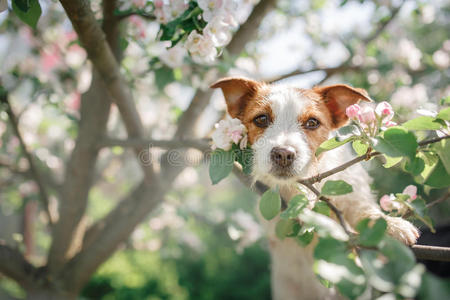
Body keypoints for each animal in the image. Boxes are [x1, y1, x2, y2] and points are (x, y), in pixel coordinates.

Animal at [211, 77, 418, 300]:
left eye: (312, 123)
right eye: (261, 119)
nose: (283, 154)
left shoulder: (353, 190)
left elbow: (363, 209)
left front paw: (392, 226)